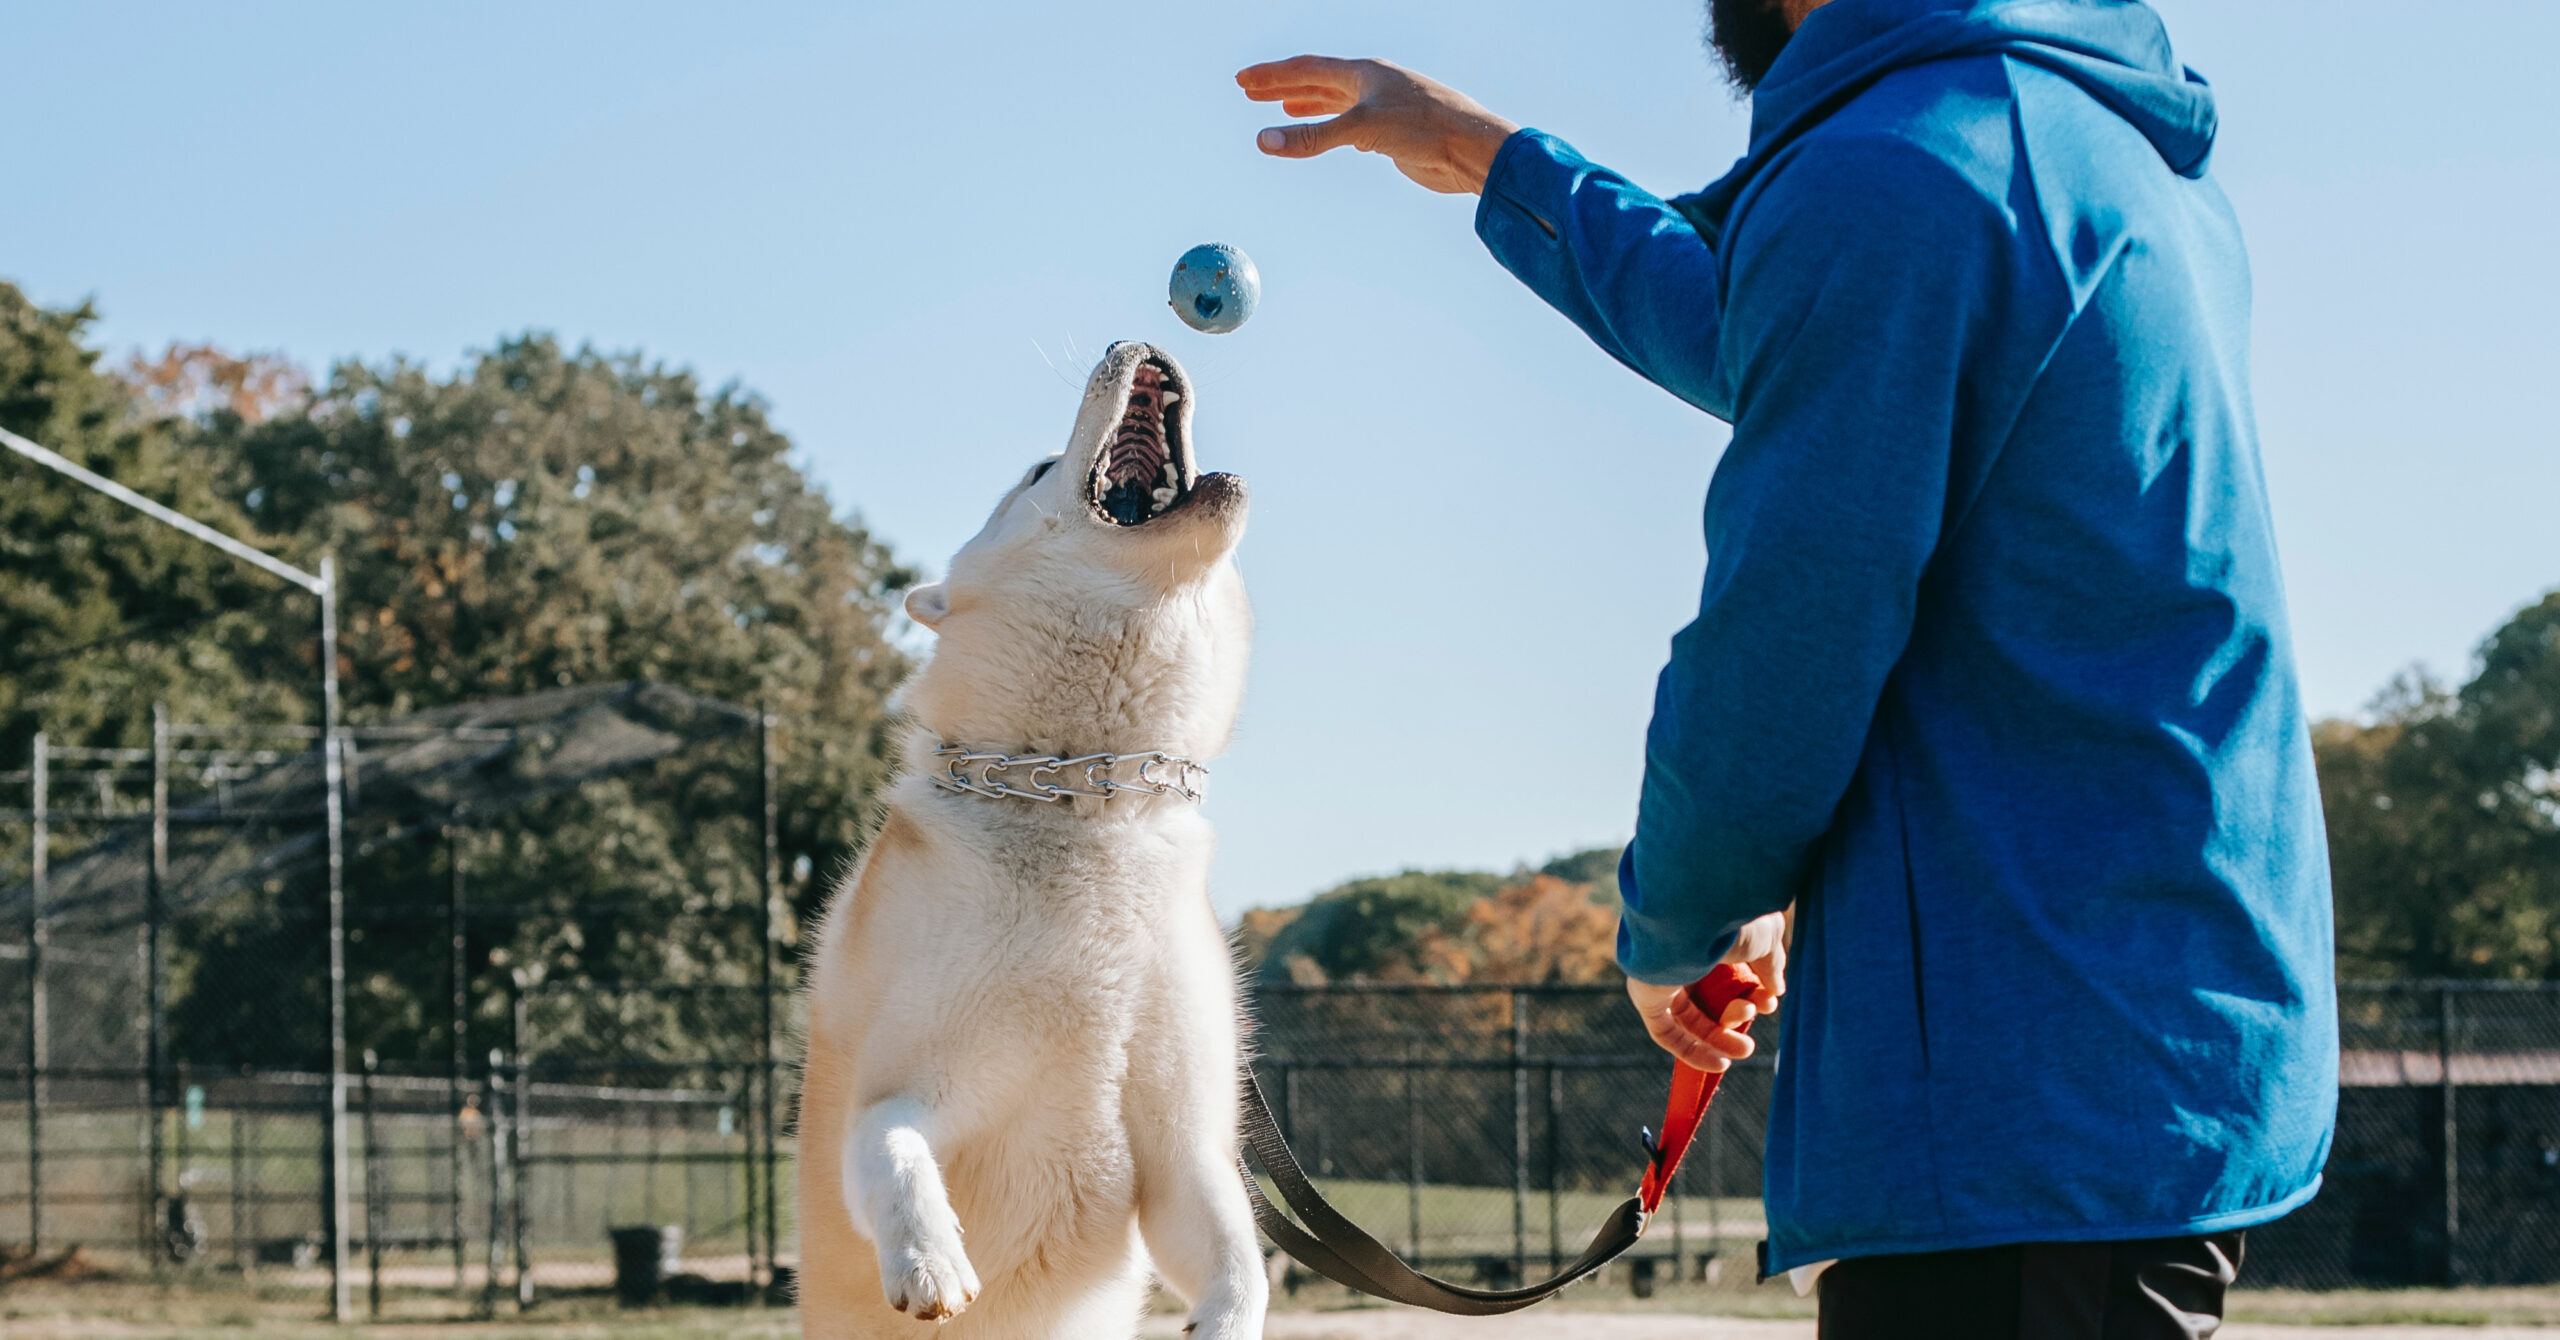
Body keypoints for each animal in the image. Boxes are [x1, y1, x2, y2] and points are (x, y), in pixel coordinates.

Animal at [798, 338, 1269, 1340]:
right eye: (1039, 470)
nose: (1132, 340)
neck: (1084, 798)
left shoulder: (1185, 1152)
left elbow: (1241, 1261)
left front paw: (1226, 1322)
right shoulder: (899, 1095)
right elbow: (891, 1151)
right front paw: (930, 1259)